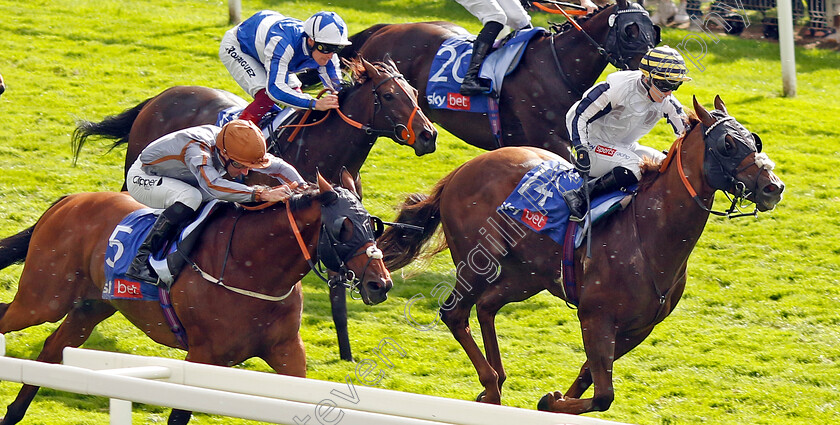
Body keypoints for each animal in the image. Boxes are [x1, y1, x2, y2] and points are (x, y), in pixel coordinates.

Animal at [0, 172, 394, 424]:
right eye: (343, 228)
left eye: (372, 225)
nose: (380, 284)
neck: (252, 269)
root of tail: (68, 200)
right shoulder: (203, 356)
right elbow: (179, 414)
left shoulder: (286, 351)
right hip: (42, 300)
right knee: (11, 316)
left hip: (90, 308)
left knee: (52, 350)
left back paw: (13, 414)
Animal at [306, 0, 660, 158]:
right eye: (630, 30)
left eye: (652, 29)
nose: (652, 64)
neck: (556, 67)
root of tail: (385, 28)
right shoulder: (548, 138)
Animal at [378, 97, 784, 414]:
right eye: (728, 143)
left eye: (754, 139)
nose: (773, 187)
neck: (650, 233)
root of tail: (462, 169)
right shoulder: (595, 315)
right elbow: (603, 394)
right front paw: (550, 400)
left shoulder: (638, 328)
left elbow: (589, 375)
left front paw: (555, 400)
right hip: (478, 264)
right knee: (455, 313)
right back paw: (491, 383)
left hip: (526, 276)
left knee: (487, 306)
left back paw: (496, 383)